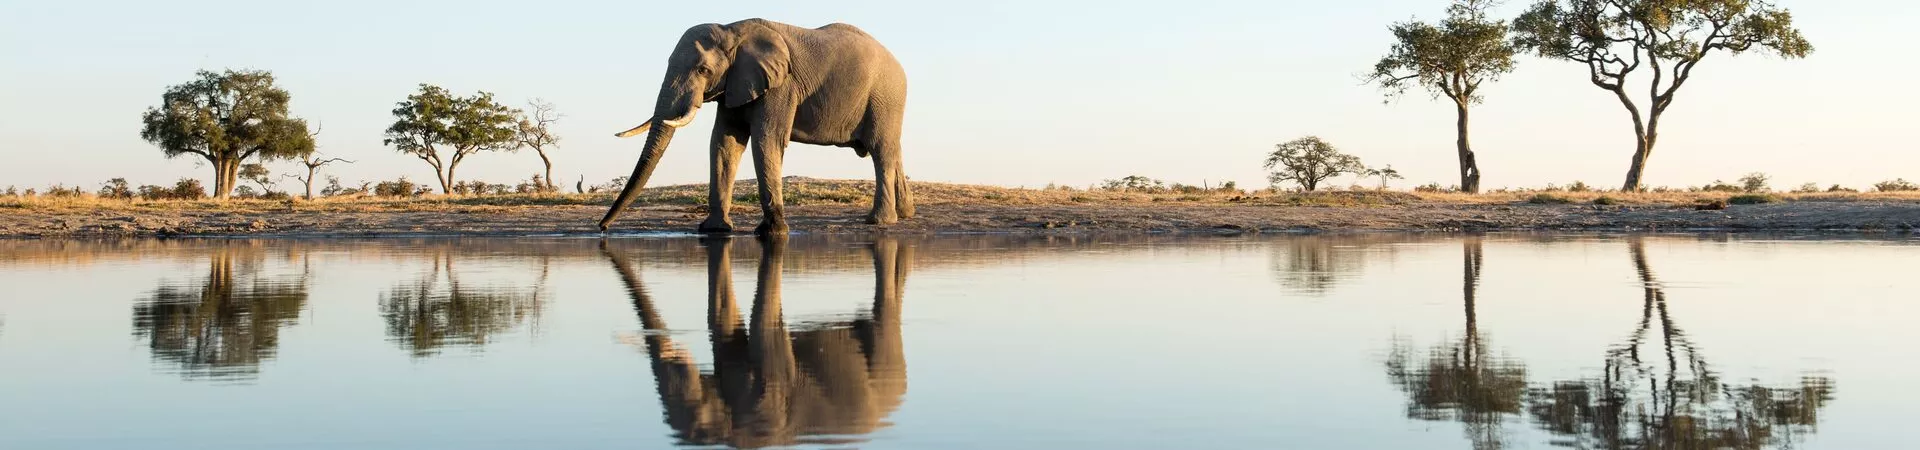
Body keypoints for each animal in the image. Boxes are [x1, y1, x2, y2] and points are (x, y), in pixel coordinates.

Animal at [599, 18, 913, 235]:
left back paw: (879, 221)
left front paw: (772, 232)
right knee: (893, 150)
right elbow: (724, 143)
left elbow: (767, 139)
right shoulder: (734, 86)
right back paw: (906, 213)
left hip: (885, 97)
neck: (731, 30)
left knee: (881, 151)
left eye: (703, 70)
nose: (602, 228)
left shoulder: (781, 86)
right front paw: (715, 230)